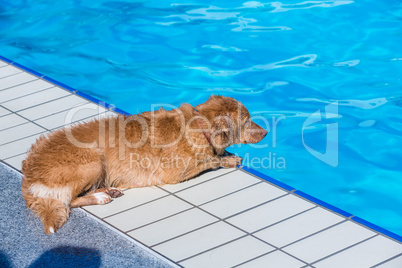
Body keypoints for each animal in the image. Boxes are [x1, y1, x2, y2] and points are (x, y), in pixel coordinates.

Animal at [21, 95, 266, 233]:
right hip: (93, 160)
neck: (198, 126)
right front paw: (229, 158)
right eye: (247, 121)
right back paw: (101, 197)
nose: (266, 131)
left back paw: (108, 190)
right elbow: (211, 159)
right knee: (70, 200)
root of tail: (28, 178)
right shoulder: (174, 173)